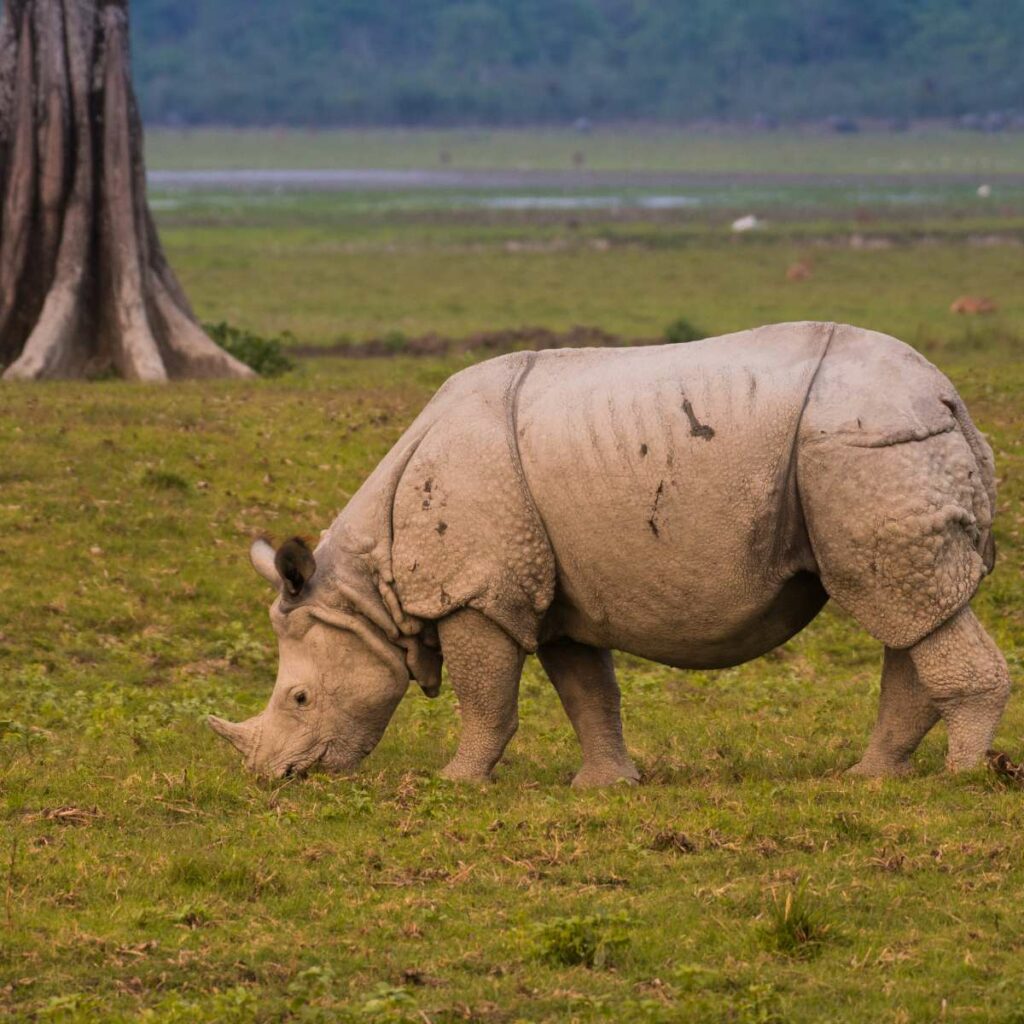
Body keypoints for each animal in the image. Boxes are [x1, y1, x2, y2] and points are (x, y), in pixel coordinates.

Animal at [209, 322, 1010, 785]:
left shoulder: (477, 593)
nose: (276, 778)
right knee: (909, 610)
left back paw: (962, 780)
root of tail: (948, 398)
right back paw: (870, 779)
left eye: (299, 698)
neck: (369, 592)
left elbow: (486, 694)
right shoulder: (560, 595)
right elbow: (587, 691)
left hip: (867, 445)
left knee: (901, 602)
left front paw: (457, 782)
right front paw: (605, 787)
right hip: (881, 448)